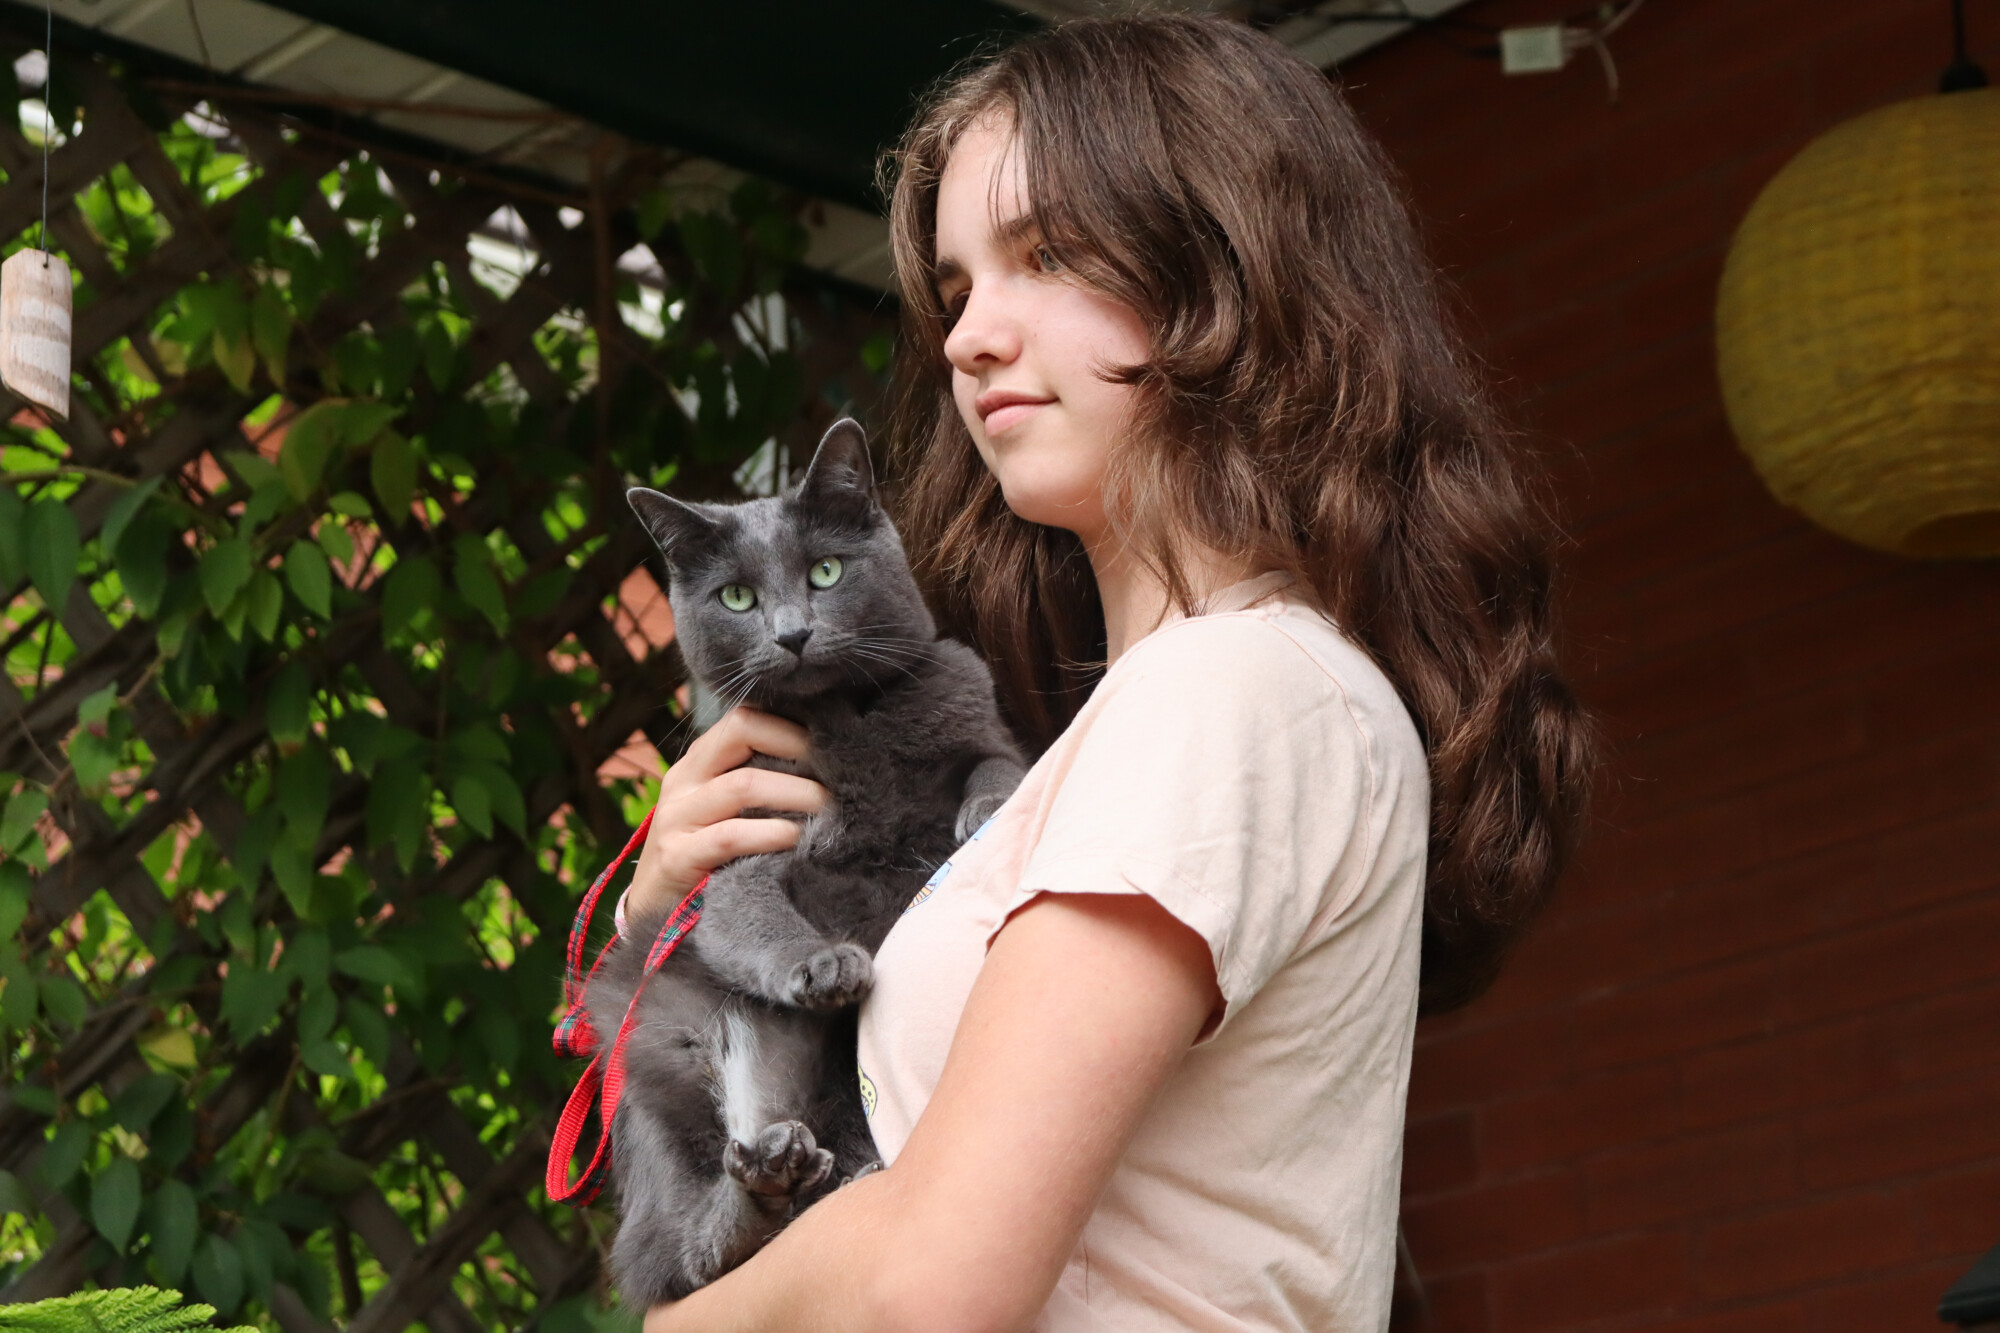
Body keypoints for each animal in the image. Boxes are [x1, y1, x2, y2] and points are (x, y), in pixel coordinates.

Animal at [576, 416, 1016, 1296]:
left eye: (825, 570)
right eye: (737, 597)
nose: (791, 632)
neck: (845, 719)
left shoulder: (974, 707)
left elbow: (994, 762)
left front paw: (983, 811)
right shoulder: (743, 845)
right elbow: (749, 913)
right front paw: (820, 965)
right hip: (668, 1033)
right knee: (690, 1243)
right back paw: (766, 1185)